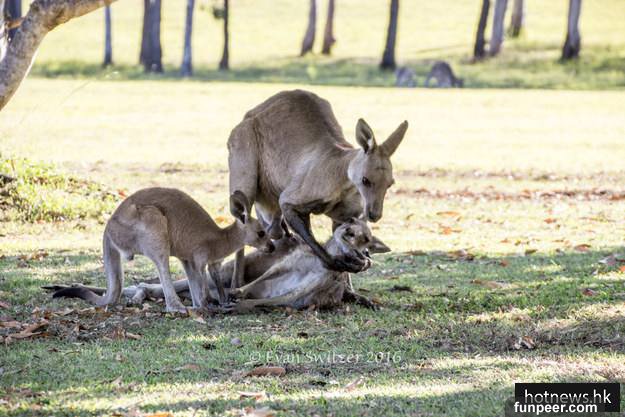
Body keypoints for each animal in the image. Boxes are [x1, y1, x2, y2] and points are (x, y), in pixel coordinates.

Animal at [52, 187, 274, 313]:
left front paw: (213, 302)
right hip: (152, 224)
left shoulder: (195, 259)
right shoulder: (199, 256)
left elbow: (205, 279)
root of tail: (107, 230)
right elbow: (202, 278)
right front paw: (211, 303)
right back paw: (180, 309)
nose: (272, 247)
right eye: (261, 233)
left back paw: (194, 307)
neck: (221, 239)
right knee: (162, 265)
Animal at [227, 89, 408, 287]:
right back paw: (236, 282)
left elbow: (341, 234)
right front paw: (340, 263)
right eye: (365, 180)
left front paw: (356, 265)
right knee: (242, 212)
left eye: (390, 184)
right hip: (244, 154)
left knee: (273, 228)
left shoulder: (347, 214)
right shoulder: (295, 196)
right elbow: (311, 236)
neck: (342, 180)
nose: (375, 215)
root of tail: (250, 113)